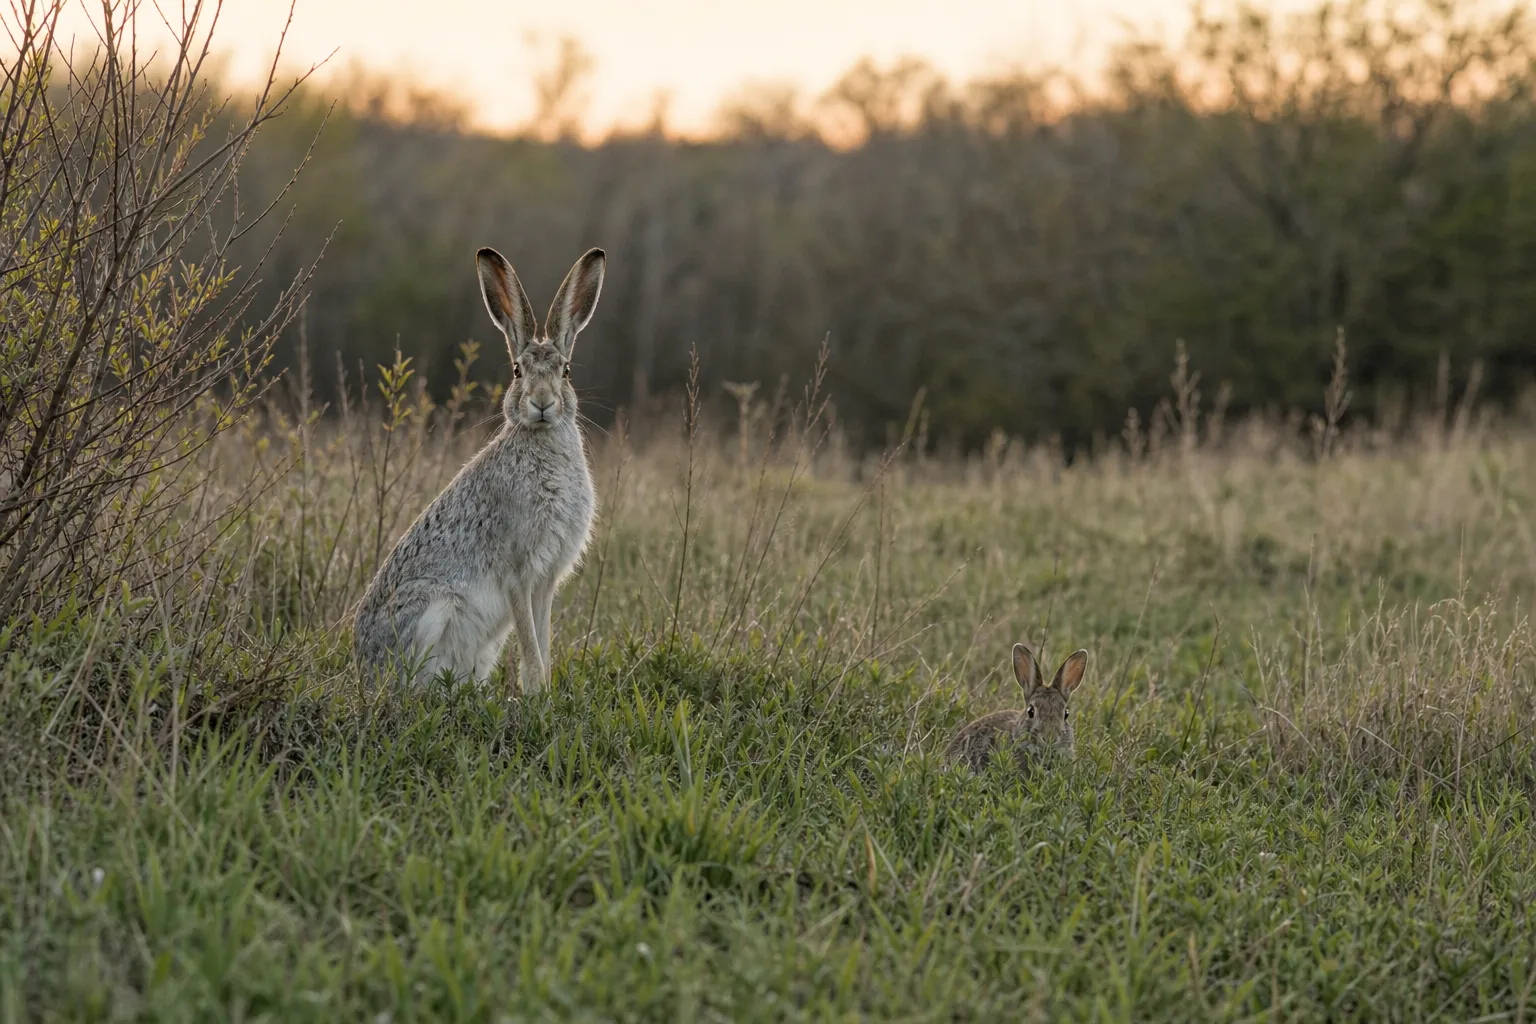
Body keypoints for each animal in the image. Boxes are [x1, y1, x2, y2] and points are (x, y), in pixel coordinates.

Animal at [353, 246, 605, 694]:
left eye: (566, 371)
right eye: (518, 371)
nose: (542, 403)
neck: (541, 438)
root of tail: (365, 669)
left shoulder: (546, 579)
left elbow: (543, 640)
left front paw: (546, 691)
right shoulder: (519, 570)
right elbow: (531, 647)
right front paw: (538, 694)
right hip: (432, 609)